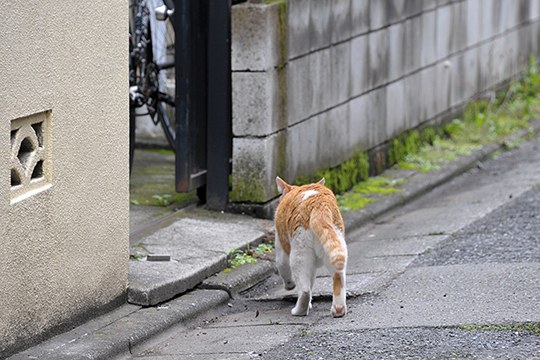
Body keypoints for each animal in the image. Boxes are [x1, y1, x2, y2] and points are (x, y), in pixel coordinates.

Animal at [274, 176, 346, 316]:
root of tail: (318, 204)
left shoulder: (280, 246)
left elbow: (282, 267)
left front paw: (289, 286)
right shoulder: (312, 267)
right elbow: (311, 281)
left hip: (299, 253)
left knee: (304, 290)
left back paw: (299, 310)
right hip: (334, 246)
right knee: (338, 276)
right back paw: (338, 309)